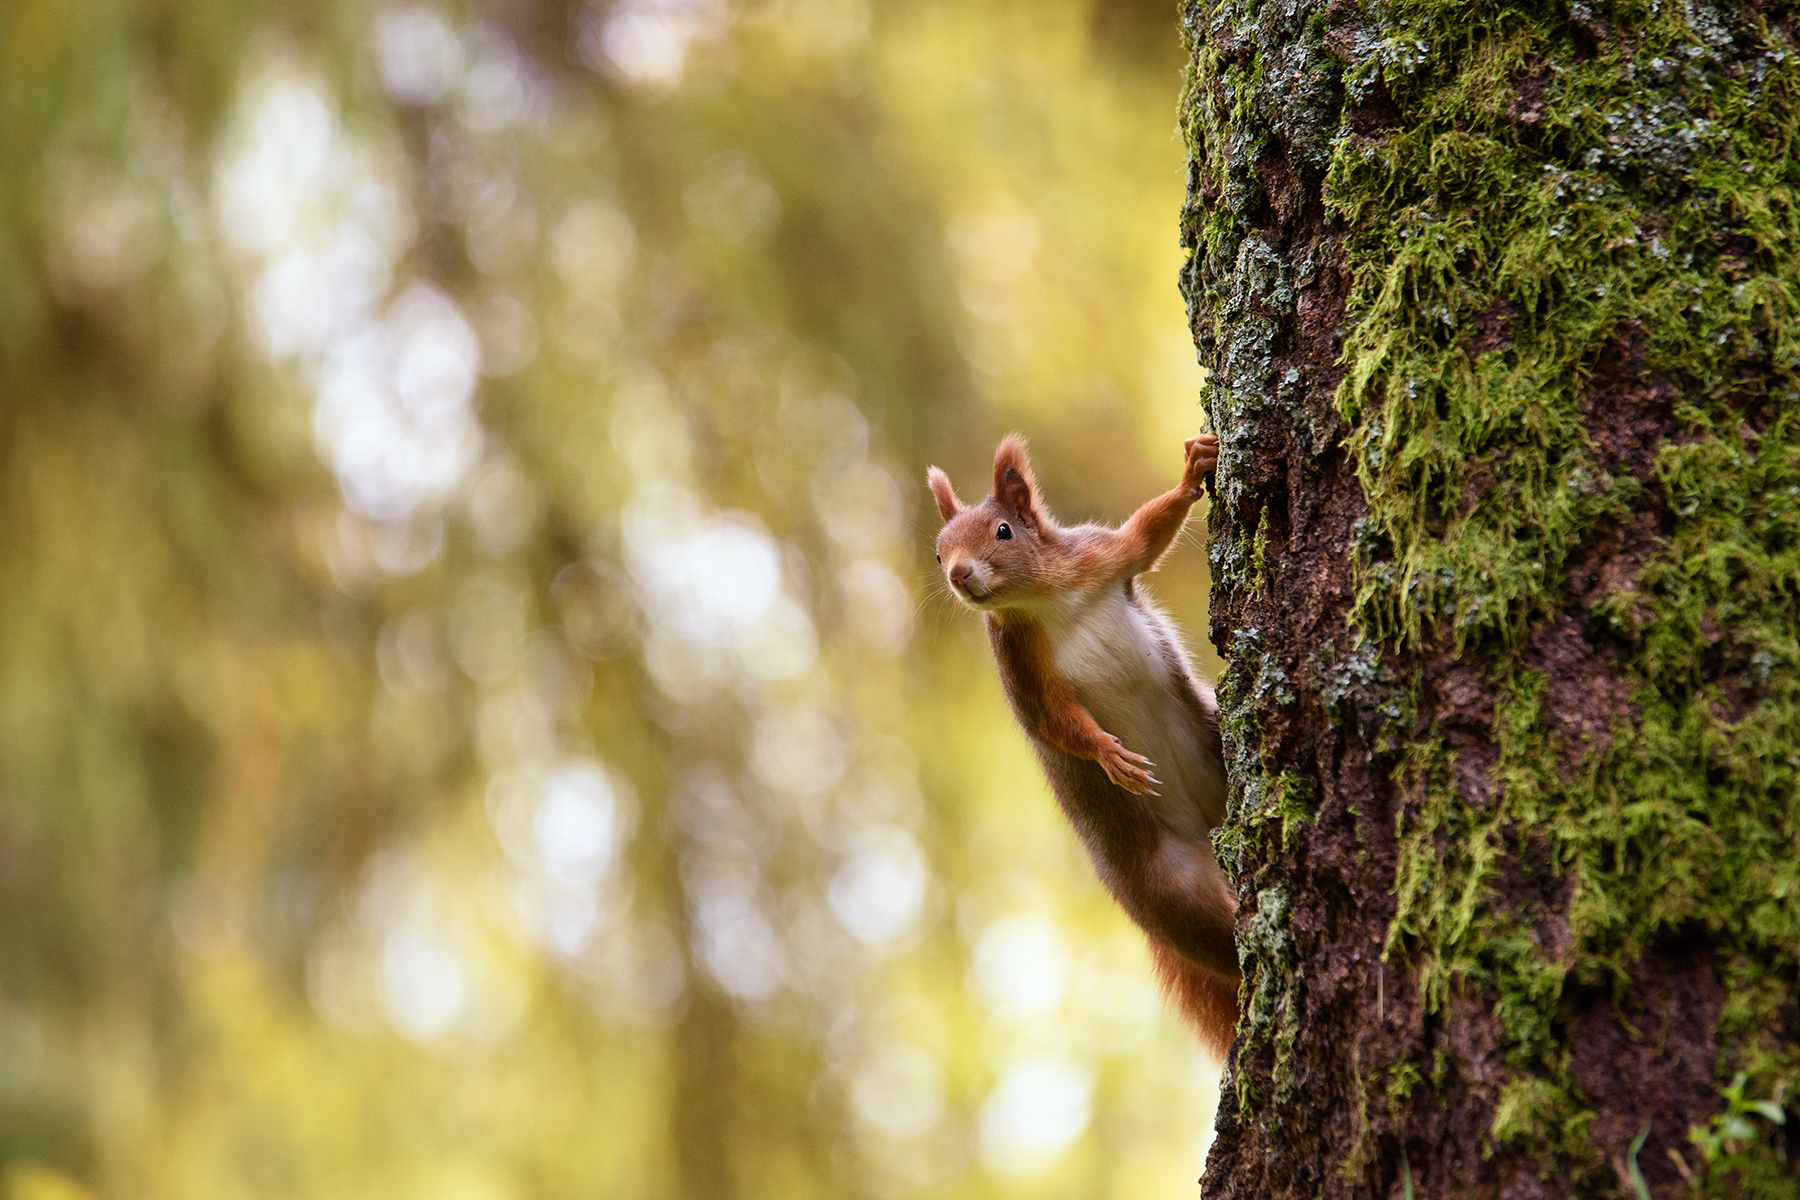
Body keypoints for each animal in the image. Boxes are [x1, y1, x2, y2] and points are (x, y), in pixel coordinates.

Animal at [928, 437, 1238, 1057]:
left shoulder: (1100, 559)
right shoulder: (1019, 661)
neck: (1044, 599)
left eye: (1003, 531)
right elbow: (1052, 721)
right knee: (1224, 945)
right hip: (1175, 894)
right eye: (938, 552)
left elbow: (1145, 537)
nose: (958, 574)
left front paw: (1194, 469)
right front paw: (1107, 756)